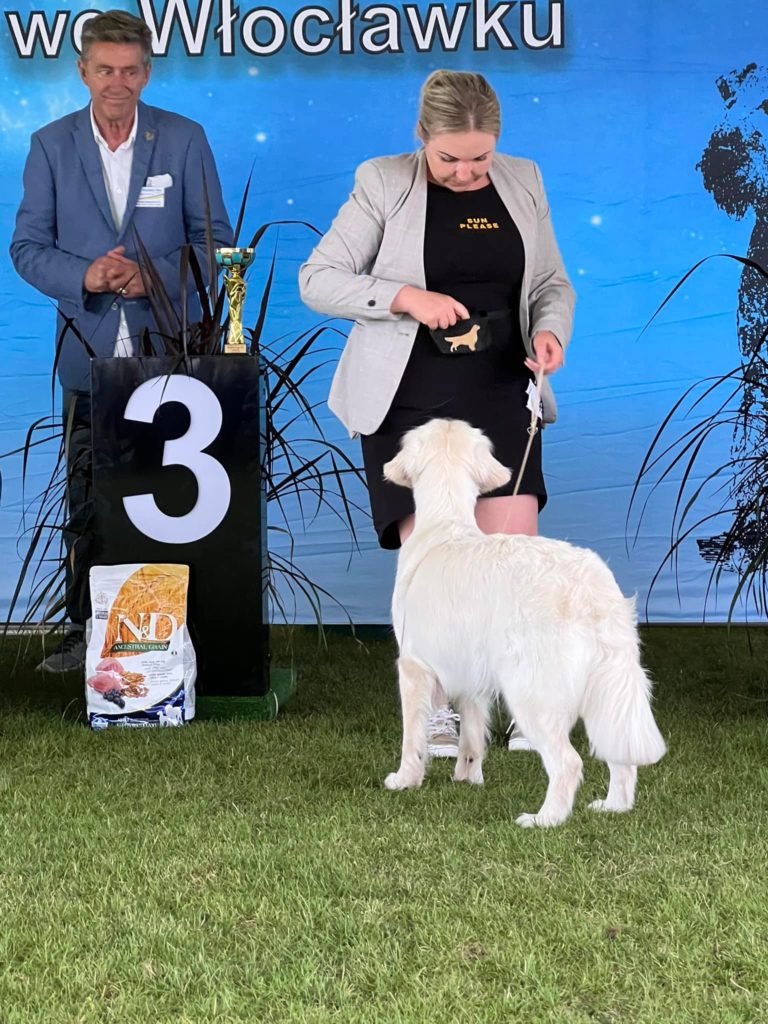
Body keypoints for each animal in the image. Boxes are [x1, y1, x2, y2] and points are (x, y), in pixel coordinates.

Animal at [382, 419, 666, 828]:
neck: (445, 522)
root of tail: (591, 587)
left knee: (568, 763)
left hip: (530, 691)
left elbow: (411, 736)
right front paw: (467, 777)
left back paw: (544, 819)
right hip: (608, 692)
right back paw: (613, 806)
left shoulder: (414, 666)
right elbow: (472, 734)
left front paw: (405, 779)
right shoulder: (471, 675)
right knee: (621, 759)